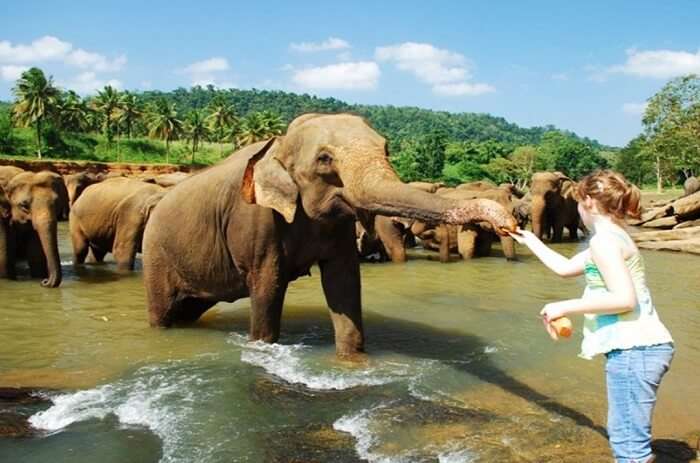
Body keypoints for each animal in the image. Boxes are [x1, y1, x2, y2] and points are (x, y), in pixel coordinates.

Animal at [142, 113, 516, 358]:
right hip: (157, 255)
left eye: (386, 149)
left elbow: (343, 282)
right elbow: (267, 286)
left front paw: (352, 360)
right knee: (164, 312)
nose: (510, 222)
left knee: (189, 308)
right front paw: (263, 348)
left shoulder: (339, 225)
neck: (279, 142)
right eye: (324, 159)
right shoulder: (257, 221)